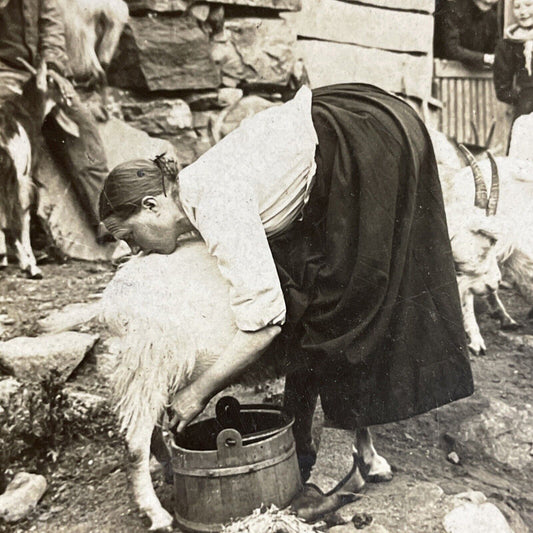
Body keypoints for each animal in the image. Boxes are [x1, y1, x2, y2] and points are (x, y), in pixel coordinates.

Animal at [100, 238, 390, 532]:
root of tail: (110, 302)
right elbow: (354, 409)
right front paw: (369, 462)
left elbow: (316, 406)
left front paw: (366, 461)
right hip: (147, 366)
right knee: (135, 445)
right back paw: (157, 514)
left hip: (149, 375)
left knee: (151, 431)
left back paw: (169, 468)